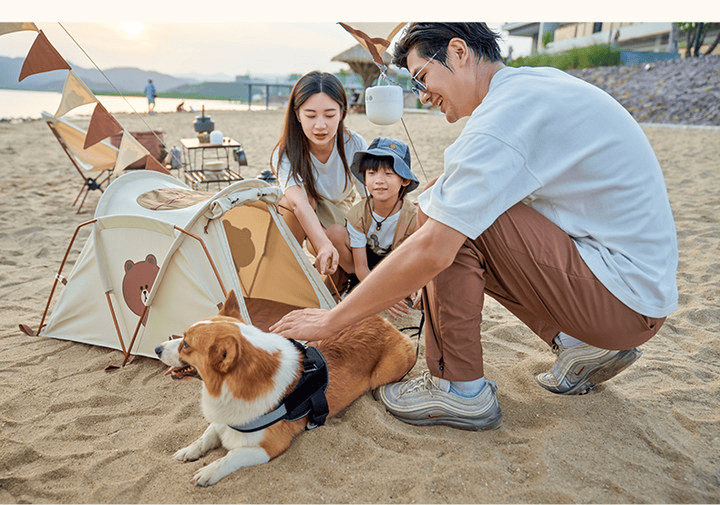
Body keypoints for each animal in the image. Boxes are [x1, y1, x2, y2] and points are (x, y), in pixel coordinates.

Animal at [158, 290, 416, 486]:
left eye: (185, 344)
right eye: (182, 337)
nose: (157, 348)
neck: (230, 387)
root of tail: (383, 321)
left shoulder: (268, 448)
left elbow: (231, 456)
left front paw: (208, 471)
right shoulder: (222, 422)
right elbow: (206, 435)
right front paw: (188, 451)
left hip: (385, 372)